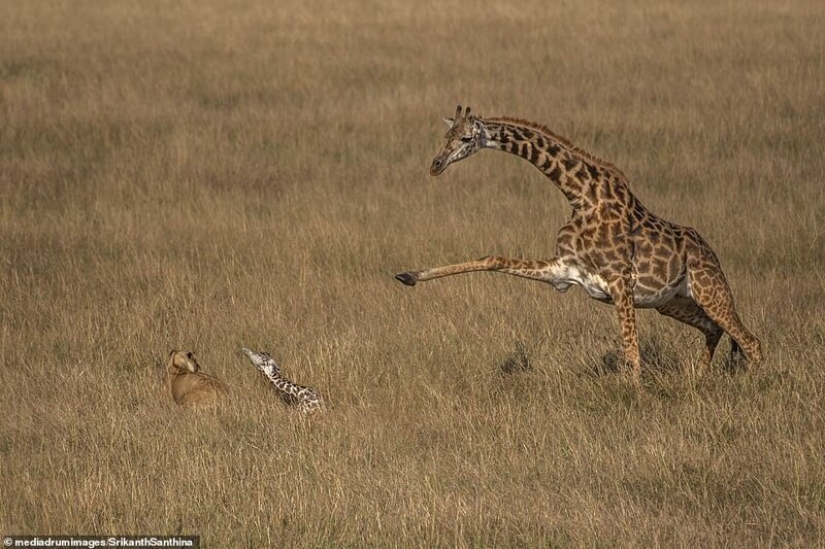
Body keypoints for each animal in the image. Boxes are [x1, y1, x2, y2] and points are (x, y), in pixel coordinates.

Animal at [395, 105, 763, 380]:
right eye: (445, 137)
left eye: (467, 137)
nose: (436, 165)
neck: (581, 196)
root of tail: (710, 252)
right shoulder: (565, 271)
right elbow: (492, 259)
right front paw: (409, 275)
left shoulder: (619, 282)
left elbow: (632, 352)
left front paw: (637, 397)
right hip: (671, 301)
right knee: (715, 330)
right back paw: (699, 379)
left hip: (709, 290)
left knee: (751, 341)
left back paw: (752, 385)